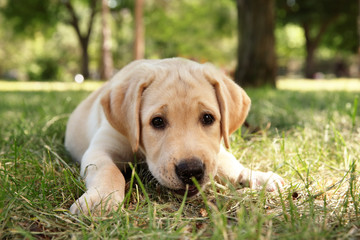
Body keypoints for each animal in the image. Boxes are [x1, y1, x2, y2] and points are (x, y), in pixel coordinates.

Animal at [64, 57, 284, 214]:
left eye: (207, 118)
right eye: (157, 121)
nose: (191, 171)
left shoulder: (215, 150)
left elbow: (230, 164)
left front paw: (256, 175)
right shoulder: (100, 148)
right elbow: (108, 170)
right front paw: (101, 199)